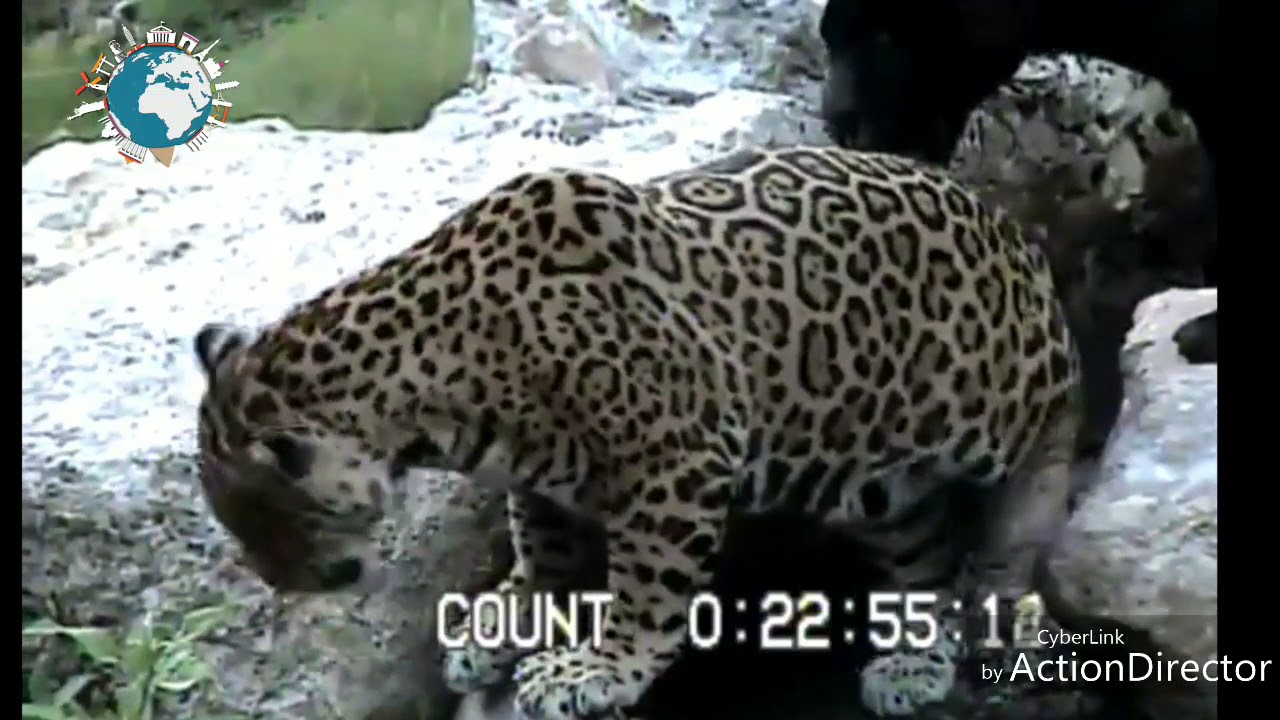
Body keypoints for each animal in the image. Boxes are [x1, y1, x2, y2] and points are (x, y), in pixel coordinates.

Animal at [192, 145, 1082, 720]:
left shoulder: (675, 464)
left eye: (265, 521)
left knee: (1049, 442)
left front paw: (597, 669)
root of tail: (1018, 235)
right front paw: (505, 625)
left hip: (1000, 396)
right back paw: (912, 657)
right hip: (875, 480)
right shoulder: (537, 476)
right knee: (921, 549)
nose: (282, 583)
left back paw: (1013, 567)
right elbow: (544, 552)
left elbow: (647, 588)